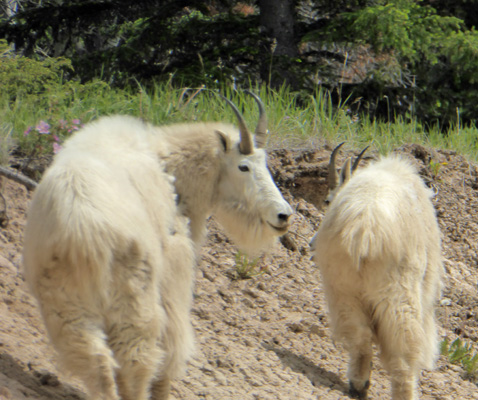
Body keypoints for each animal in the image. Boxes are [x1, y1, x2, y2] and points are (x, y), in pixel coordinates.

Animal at [22, 91, 294, 400]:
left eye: (266, 164)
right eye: (244, 166)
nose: (283, 215)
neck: (168, 165)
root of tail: (82, 233)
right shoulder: (175, 266)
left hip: (64, 302)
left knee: (94, 358)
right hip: (134, 294)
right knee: (138, 357)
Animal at [310, 145, 444, 400]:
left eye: (328, 200)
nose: (311, 243)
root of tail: (363, 225)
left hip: (340, 283)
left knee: (358, 333)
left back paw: (358, 384)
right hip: (398, 290)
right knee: (404, 350)